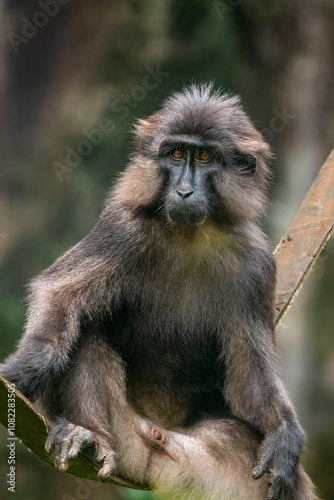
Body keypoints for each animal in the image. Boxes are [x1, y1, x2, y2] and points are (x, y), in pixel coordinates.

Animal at [0, 84, 318, 498]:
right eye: (176, 154)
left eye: (204, 156)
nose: (183, 191)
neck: (191, 234)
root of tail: (157, 439)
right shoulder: (122, 229)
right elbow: (59, 294)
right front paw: (23, 371)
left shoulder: (257, 265)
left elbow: (249, 375)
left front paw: (284, 432)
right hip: (127, 440)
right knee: (85, 331)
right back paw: (86, 433)